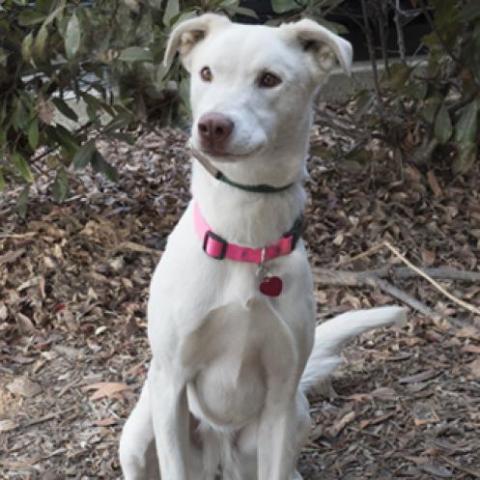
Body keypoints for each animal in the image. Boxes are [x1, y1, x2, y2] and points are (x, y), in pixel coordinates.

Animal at [119, 13, 404, 478]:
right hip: (140, 429)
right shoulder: (171, 382)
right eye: (206, 73)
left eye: (269, 79)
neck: (246, 240)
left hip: (297, 414)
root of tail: (219, 458)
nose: (213, 125)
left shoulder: (281, 395)